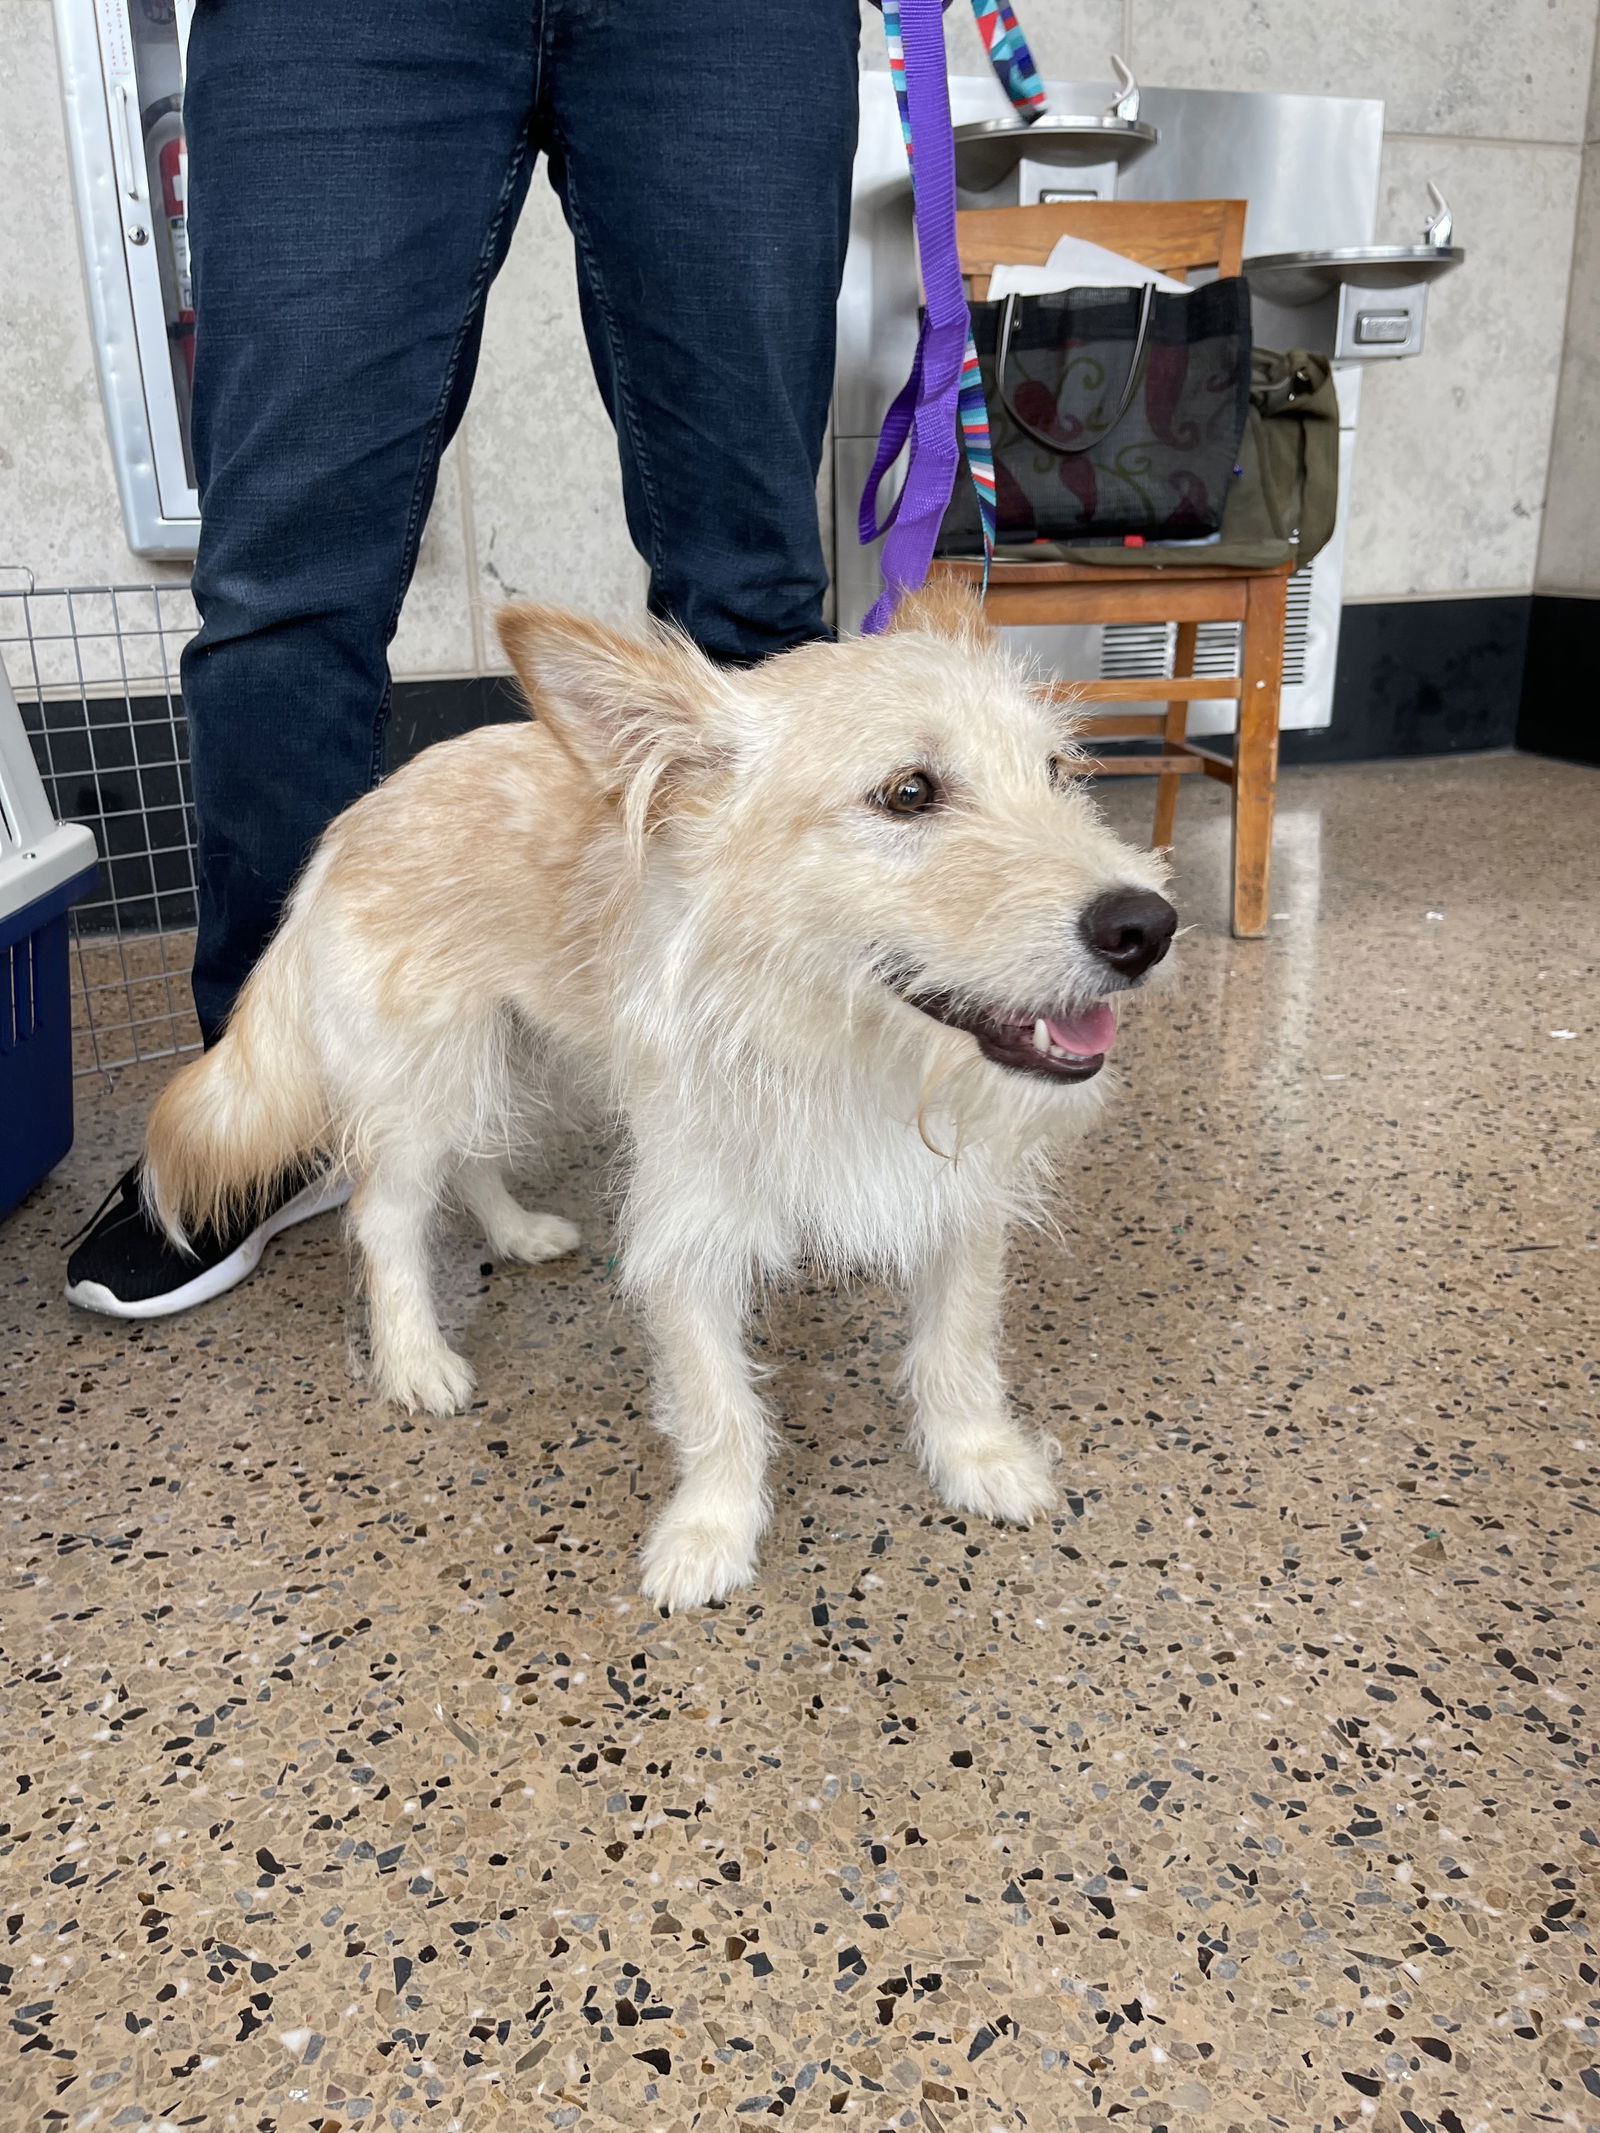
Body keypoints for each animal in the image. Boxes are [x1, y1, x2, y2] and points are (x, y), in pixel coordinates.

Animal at [147, 584, 1177, 1604]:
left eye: (1058, 770)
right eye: (909, 793)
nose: (1149, 925)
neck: (835, 1039)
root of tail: (357, 817)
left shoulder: (959, 1196)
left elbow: (957, 1347)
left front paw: (978, 1459)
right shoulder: (689, 1223)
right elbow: (718, 1400)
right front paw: (711, 1531)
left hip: (523, 1059)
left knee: (474, 1158)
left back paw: (517, 1231)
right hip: (428, 1082)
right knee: (387, 1214)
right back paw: (415, 1360)